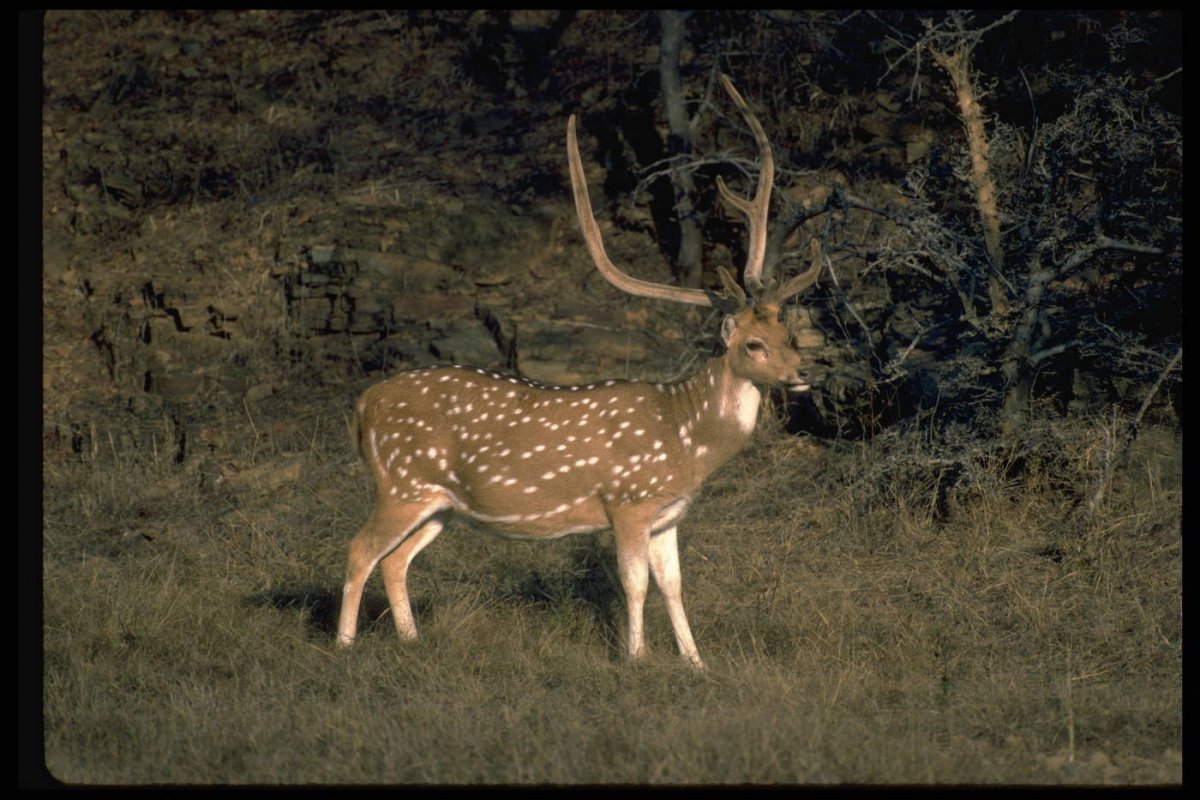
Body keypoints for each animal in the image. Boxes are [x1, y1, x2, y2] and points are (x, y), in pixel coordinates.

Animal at [336, 75, 822, 669]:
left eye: (789, 335)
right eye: (753, 344)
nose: (804, 371)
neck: (687, 439)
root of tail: (362, 407)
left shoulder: (668, 515)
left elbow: (674, 585)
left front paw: (696, 663)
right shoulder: (629, 500)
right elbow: (635, 584)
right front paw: (636, 659)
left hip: (437, 503)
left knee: (394, 559)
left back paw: (411, 640)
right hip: (399, 482)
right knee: (359, 549)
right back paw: (343, 645)